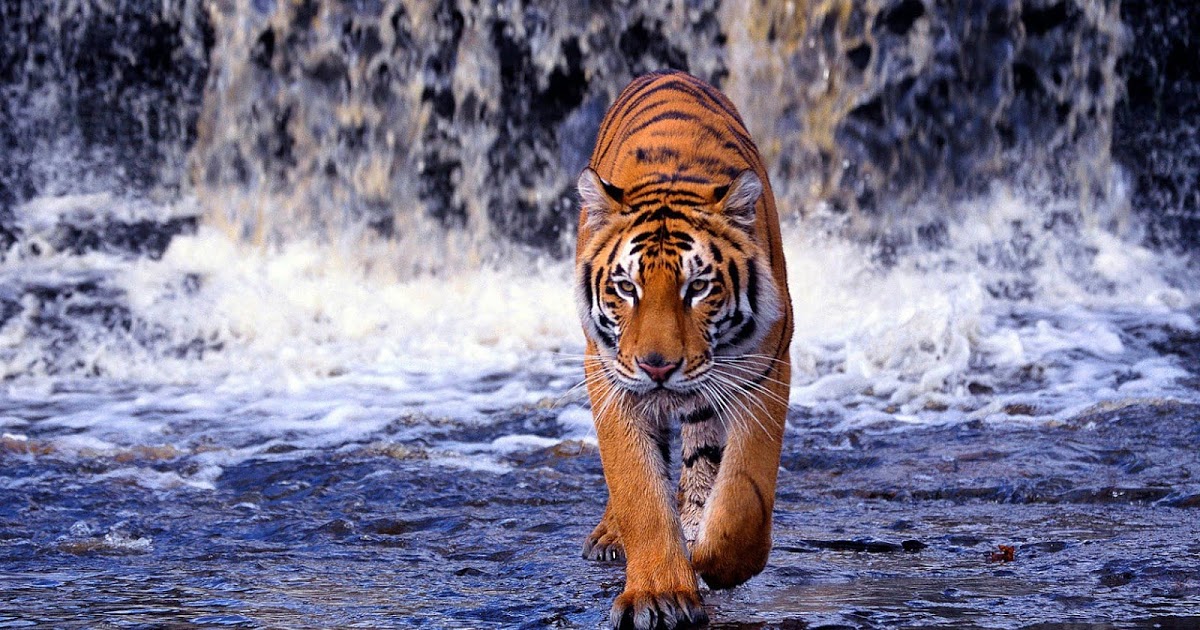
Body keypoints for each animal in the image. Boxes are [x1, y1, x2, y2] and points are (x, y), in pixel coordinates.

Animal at [574, 70, 793, 630]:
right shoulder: (609, 375)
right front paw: (659, 594)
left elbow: (744, 492)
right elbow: (637, 487)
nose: (657, 367)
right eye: (626, 287)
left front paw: (719, 561)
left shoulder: (764, 368)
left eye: (697, 288)